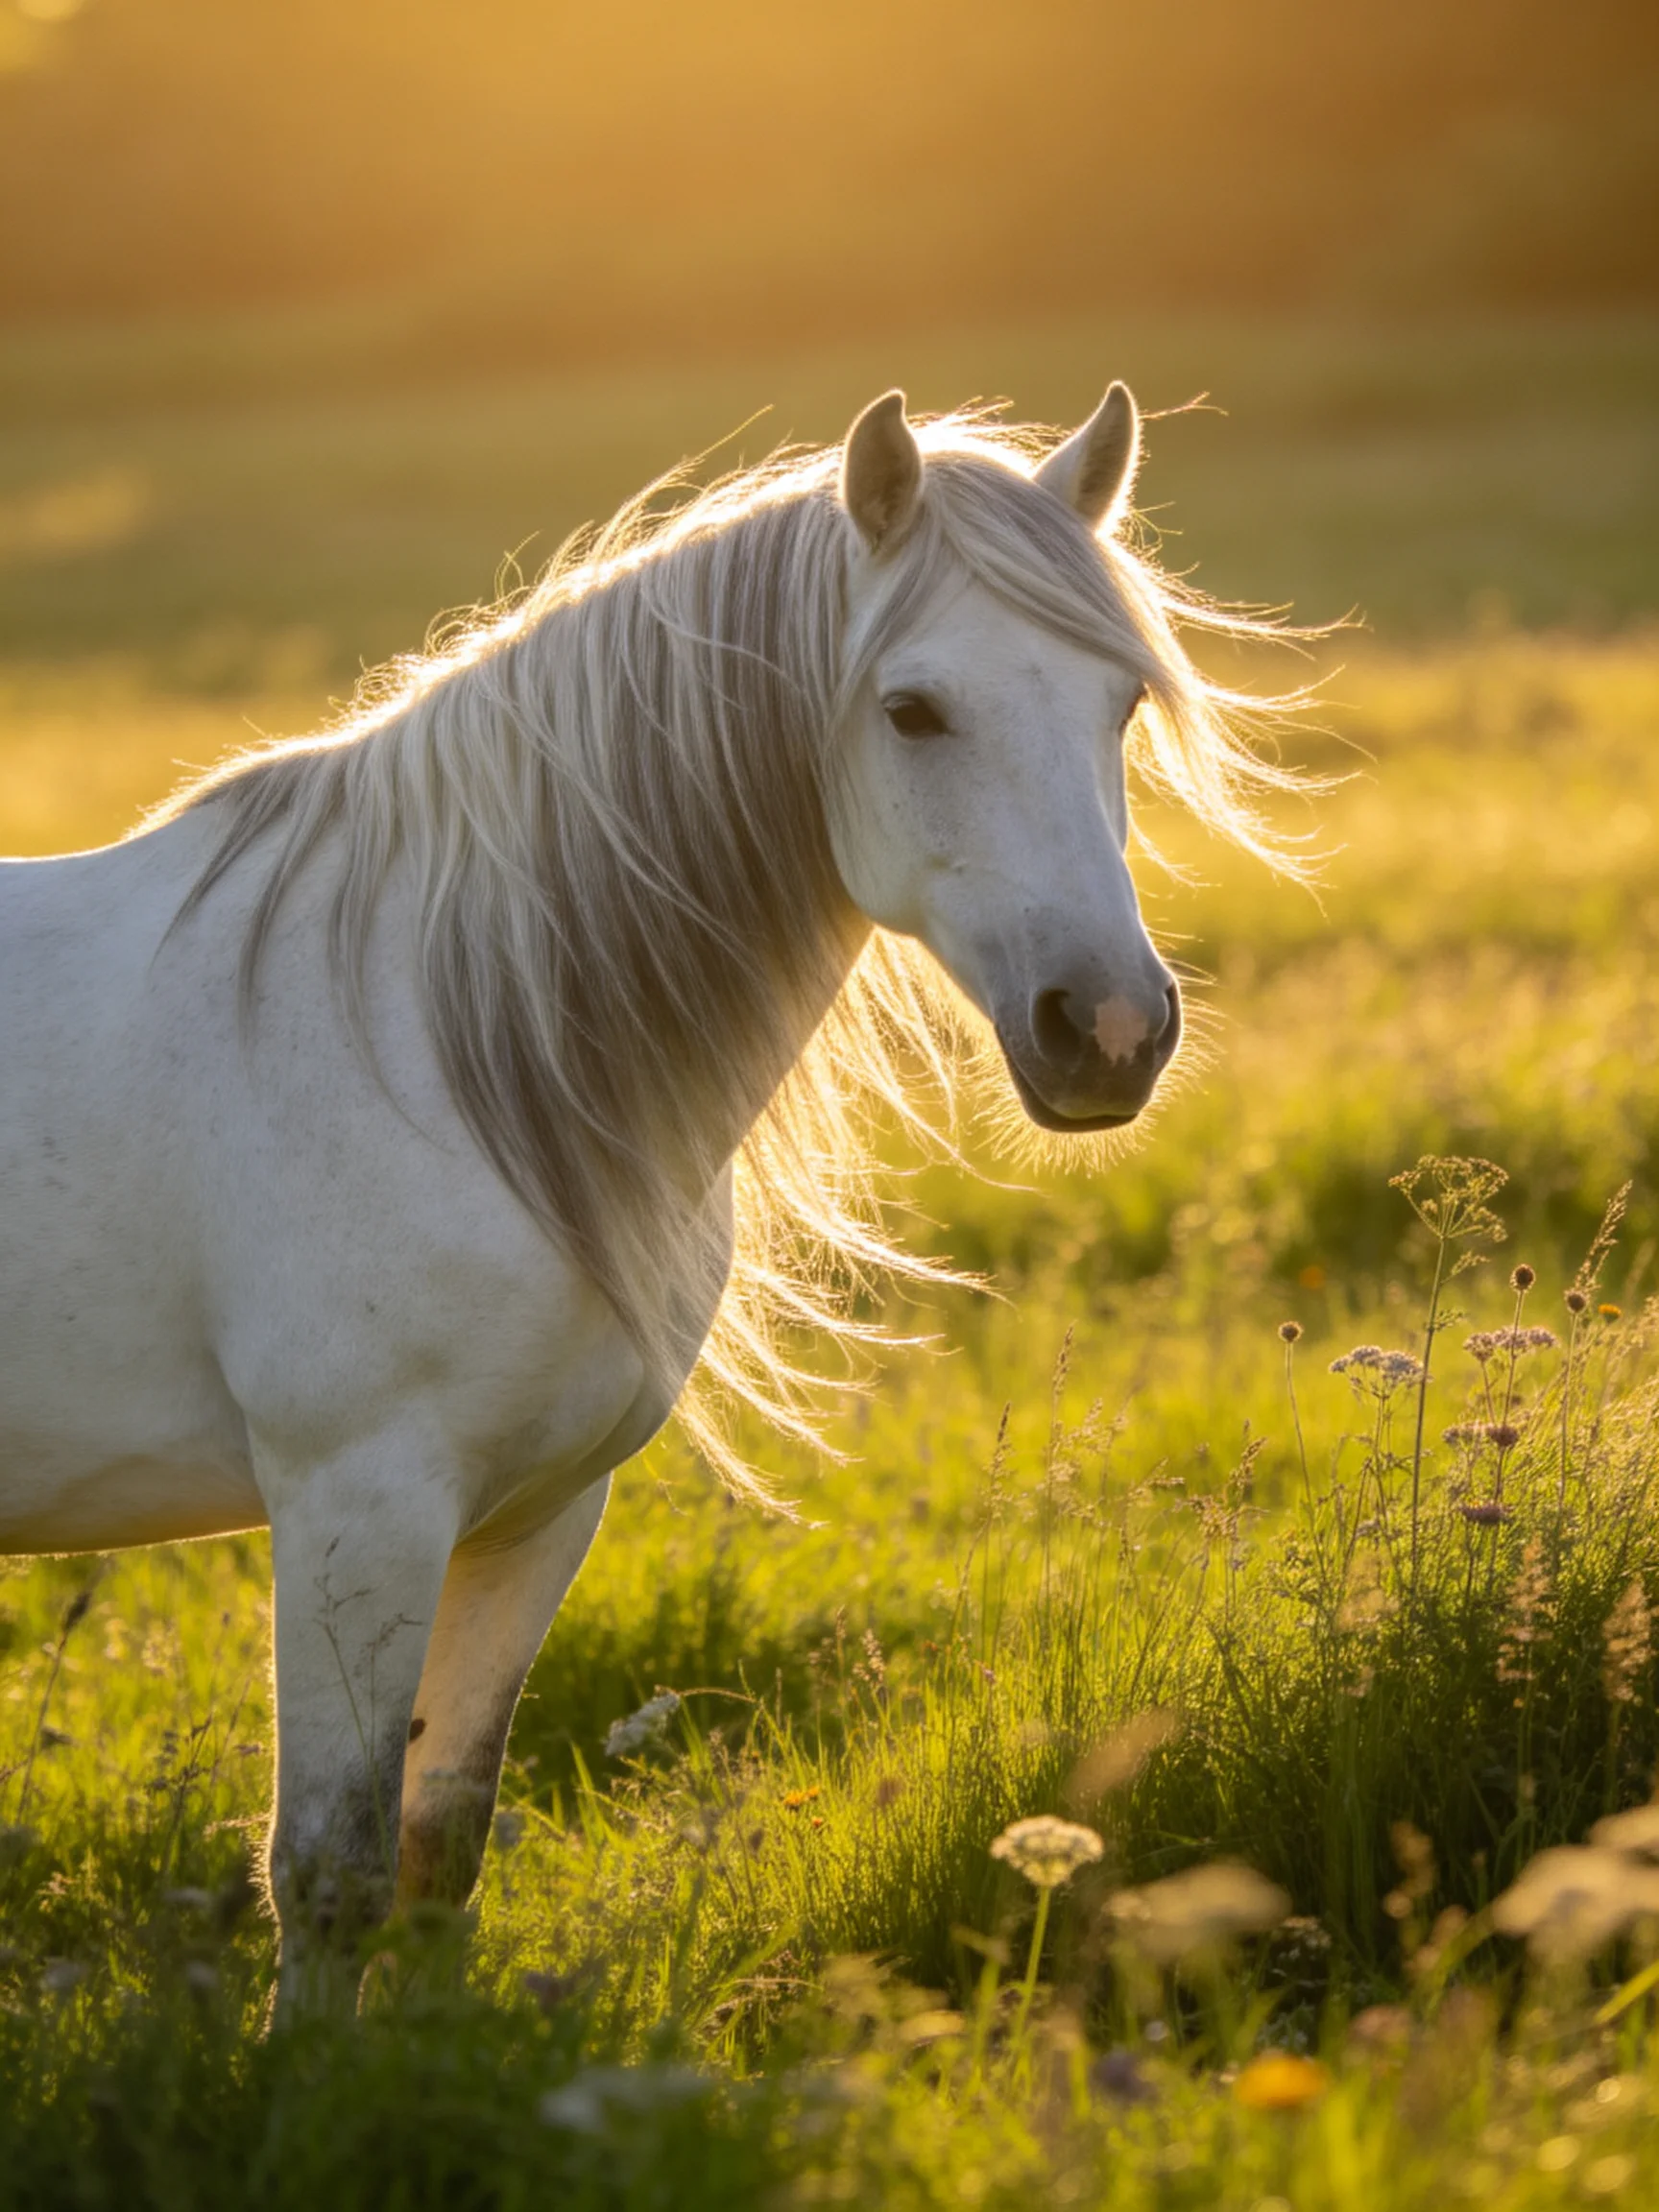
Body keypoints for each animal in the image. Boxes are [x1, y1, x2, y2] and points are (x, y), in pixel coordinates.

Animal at [0, 381, 1295, 2012]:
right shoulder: (358, 1501)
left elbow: (436, 1847)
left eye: (1120, 706)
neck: (443, 1046)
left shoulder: (535, 1510)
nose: (1110, 1030)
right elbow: (329, 1869)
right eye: (912, 709)